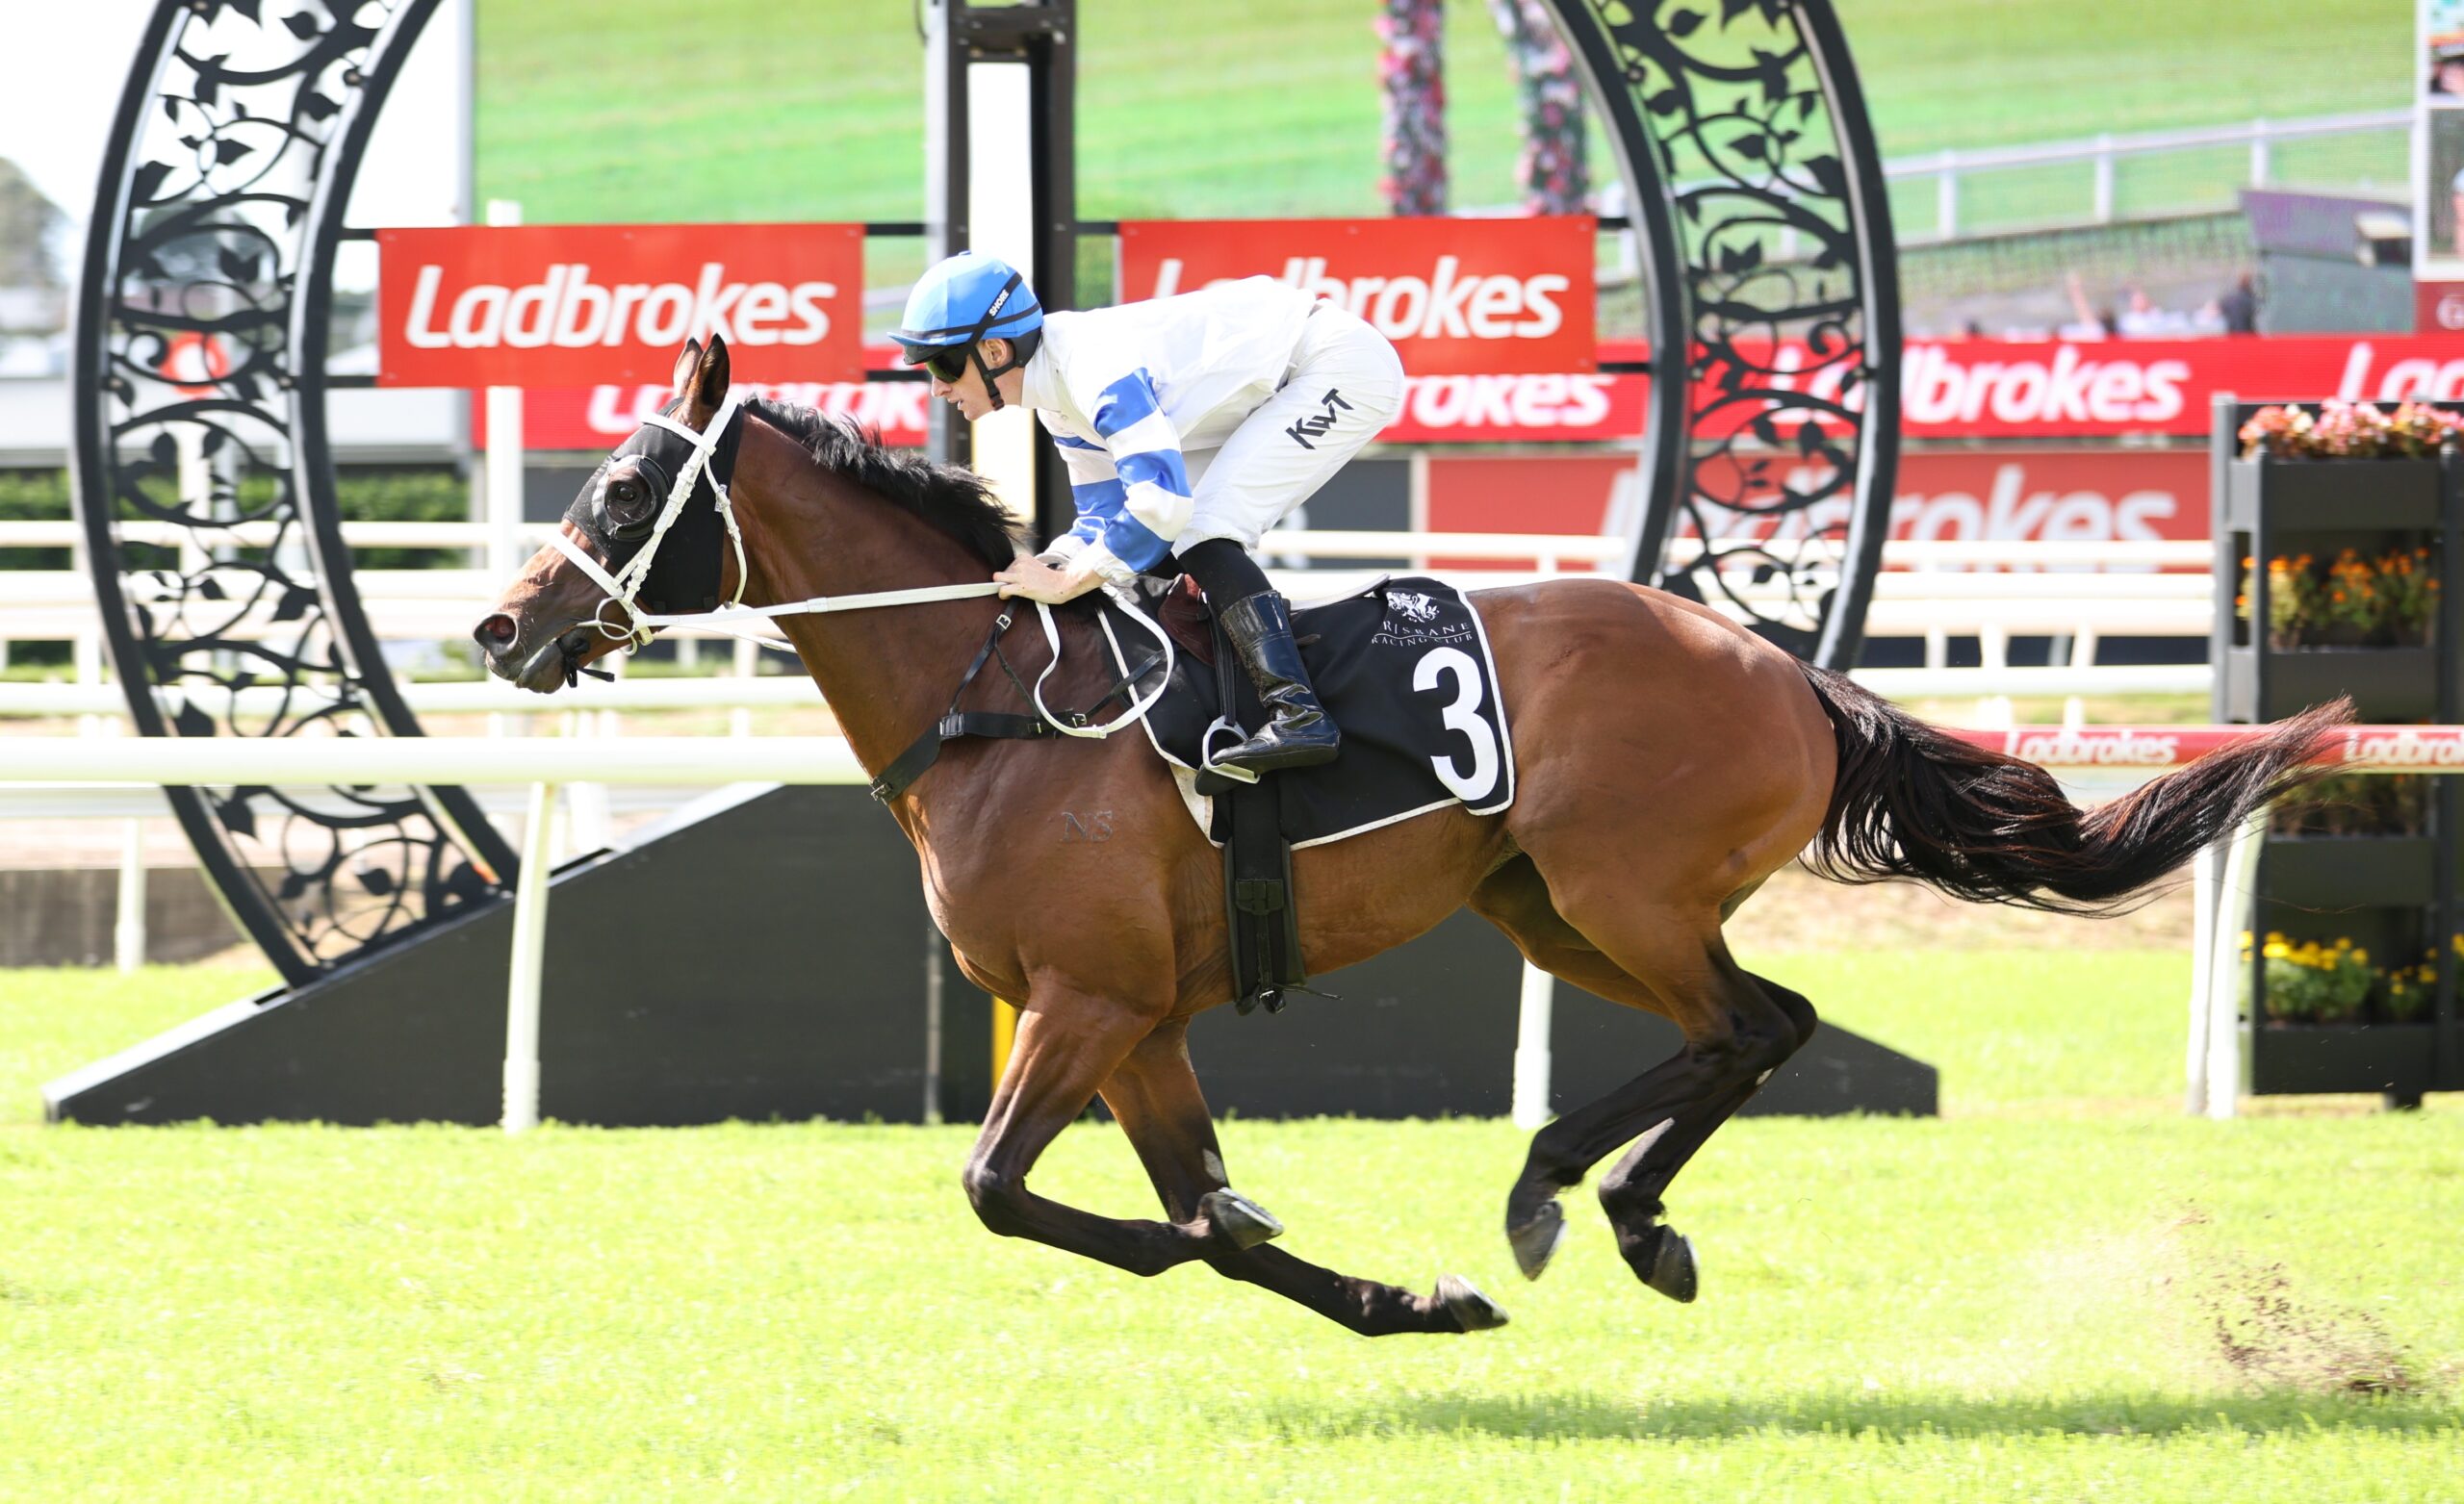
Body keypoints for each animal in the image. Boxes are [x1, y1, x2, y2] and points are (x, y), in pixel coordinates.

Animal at [473, 336, 2341, 1335]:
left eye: (624, 489)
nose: (500, 628)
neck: (992, 697)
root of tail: (1786, 669)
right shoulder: (1136, 1022)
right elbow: (1202, 1204)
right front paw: (1395, 1297)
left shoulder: (1085, 999)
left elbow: (1009, 1186)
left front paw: (1211, 1239)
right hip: (1545, 906)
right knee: (1751, 1027)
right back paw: (1575, 1191)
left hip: (1622, 889)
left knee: (1755, 1023)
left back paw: (1597, 1199)